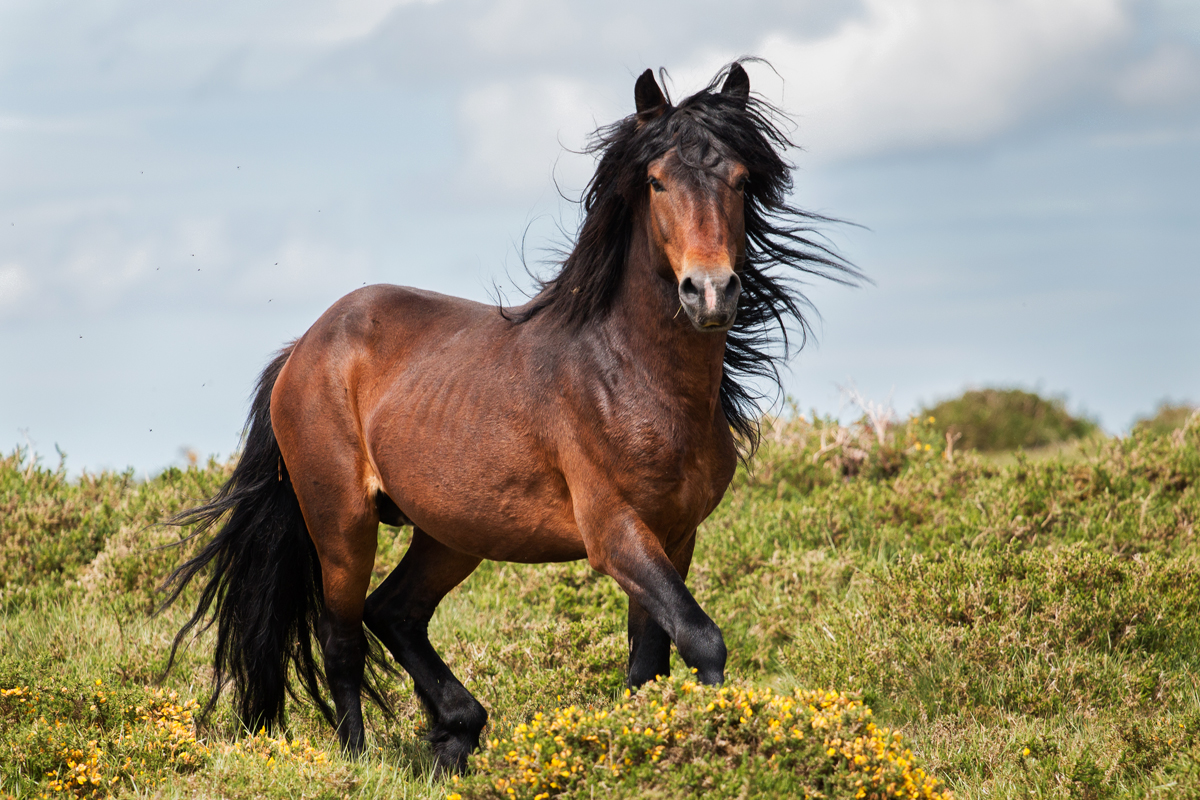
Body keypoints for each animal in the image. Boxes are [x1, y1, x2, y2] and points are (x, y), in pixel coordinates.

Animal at [160, 61, 855, 775]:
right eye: (658, 181)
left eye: (741, 180)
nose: (710, 293)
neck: (629, 375)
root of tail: (304, 347)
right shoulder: (615, 533)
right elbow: (701, 638)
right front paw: (721, 743)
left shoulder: (675, 536)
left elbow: (649, 664)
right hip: (341, 521)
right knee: (342, 637)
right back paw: (359, 761)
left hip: (452, 532)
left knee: (395, 613)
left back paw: (456, 732)